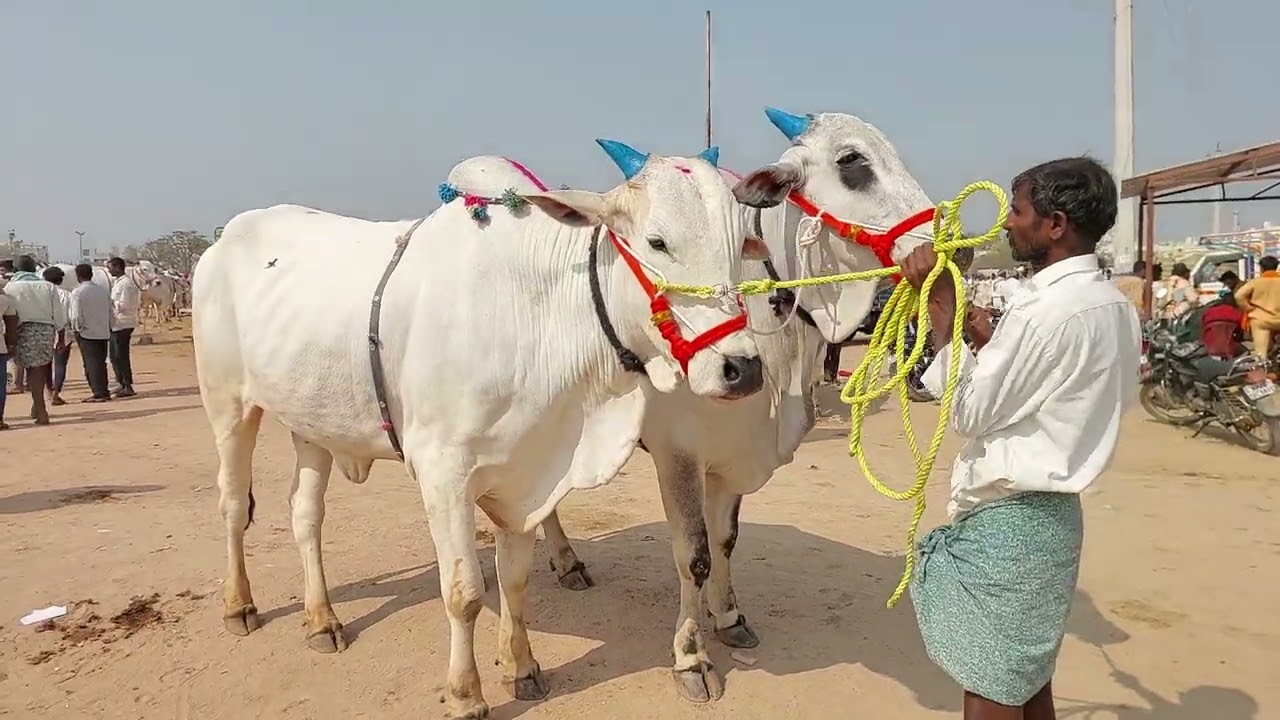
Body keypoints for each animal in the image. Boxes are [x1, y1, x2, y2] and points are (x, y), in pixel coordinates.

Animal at [192, 141, 767, 720]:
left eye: (738, 246)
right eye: (657, 242)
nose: (742, 369)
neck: (538, 315)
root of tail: (221, 242)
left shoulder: (525, 476)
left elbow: (514, 576)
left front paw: (522, 666)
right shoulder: (443, 476)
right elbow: (464, 591)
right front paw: (466, 693)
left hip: (312, 426)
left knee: (305, 515)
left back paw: (322, 618)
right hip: (227, 405)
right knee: (233, 505)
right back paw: (240, 605)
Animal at [532, 109, 939, 702]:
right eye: (852, 162)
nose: (952, 244)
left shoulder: (731, 460)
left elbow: (725, 542)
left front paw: (728, 618)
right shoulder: (678, 455)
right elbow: (694, 555)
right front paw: (690, 656)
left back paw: (565, 561)